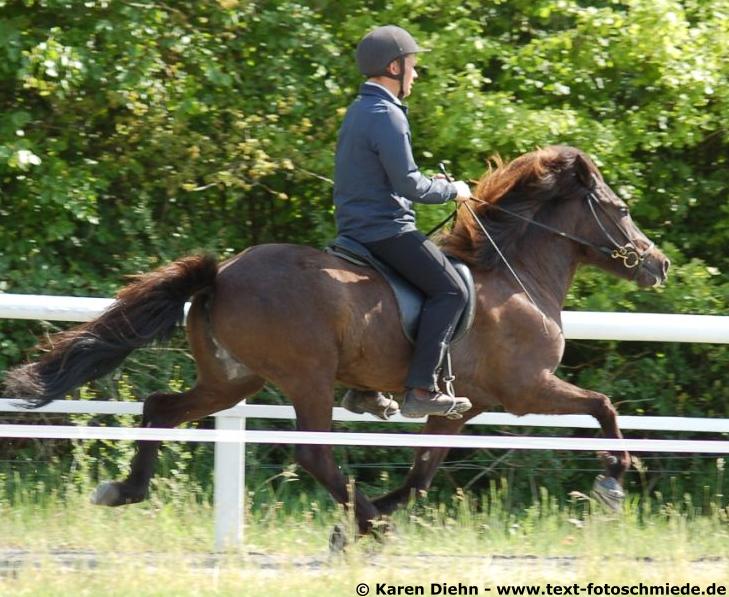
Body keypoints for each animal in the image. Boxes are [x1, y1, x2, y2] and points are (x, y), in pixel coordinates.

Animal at [2, 146, 668, 536]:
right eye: (621, 208)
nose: (657, 265)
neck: (517, 276)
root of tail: (222, 274)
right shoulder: (527, 390)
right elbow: (603, 406)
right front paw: (613, 483)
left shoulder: (463, 406)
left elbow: (422, 475)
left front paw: (369, 518)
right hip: (308, 376)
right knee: (313, 454)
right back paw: (370, 524)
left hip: (232, 379)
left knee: (161, 408)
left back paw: (124, 489)